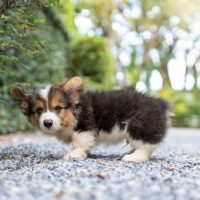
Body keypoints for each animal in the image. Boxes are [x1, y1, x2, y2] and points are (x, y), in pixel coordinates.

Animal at [10, 76, 170, 162]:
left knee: (145, 146)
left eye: (58, 108)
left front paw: (75, 154)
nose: (47, 123)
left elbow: (78, 143)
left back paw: (133, 157)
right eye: (39, 110)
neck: (74, 112)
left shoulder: (84, 127)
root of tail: (160, 104)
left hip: (139, 125)